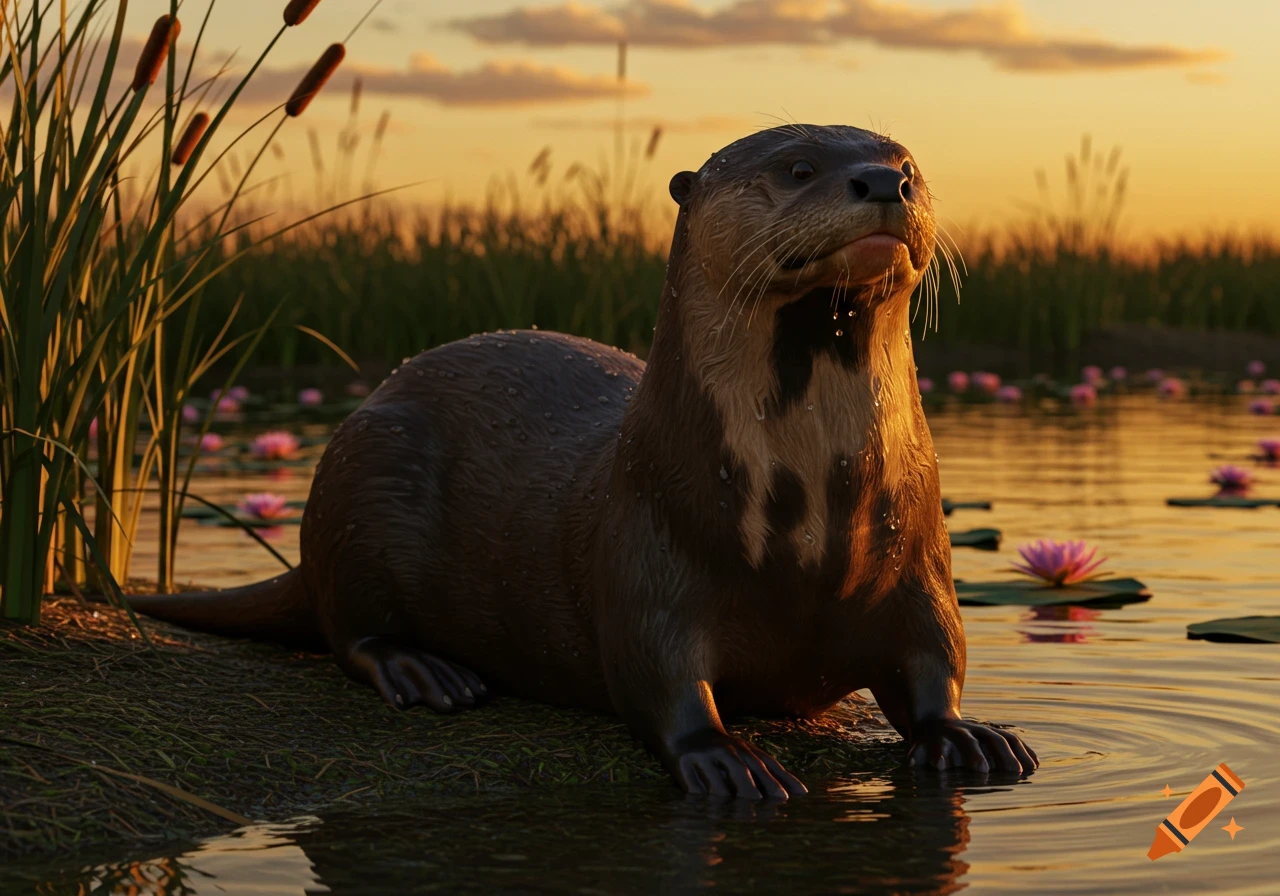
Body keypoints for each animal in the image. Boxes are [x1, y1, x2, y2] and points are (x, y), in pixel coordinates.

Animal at [131, 124, 1037, 798]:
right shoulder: (648, 545)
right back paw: (425, 672)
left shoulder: (916, 557)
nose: (885, 182)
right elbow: (657, 674)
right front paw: (725, 757)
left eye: (912, 166)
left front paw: (967, 734)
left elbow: (936, 654)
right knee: (346, 625)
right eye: (800, 167)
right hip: (360, 475)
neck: (808, 515)